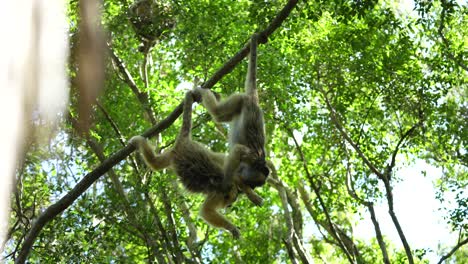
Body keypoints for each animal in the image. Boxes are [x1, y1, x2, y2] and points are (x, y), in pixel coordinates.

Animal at [130, 89, 264, 238]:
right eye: (230, 200)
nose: (229, 205)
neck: (230, 188)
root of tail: (182, 143)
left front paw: (250, 193)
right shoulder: (218, 194)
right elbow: (206, 211)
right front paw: (231, 227)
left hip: (172, 155)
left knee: (155, 163)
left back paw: (139, 142)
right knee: (155, 163)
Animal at [195, 34, 268, 193]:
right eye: (254, 183)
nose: (251, 188)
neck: (259, 160)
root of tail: (254, 100)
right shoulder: (251, 156)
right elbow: (237, 151)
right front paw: (225, 183)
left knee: (221, 117)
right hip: (240, 99)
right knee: (217, 113)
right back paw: (202, 91)